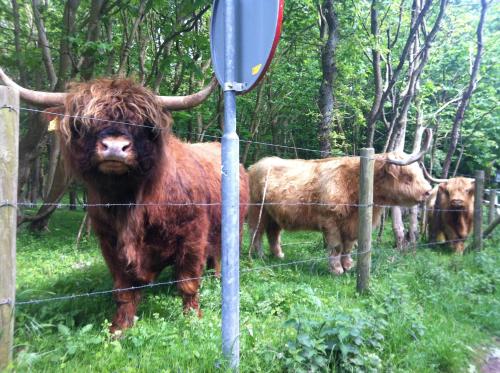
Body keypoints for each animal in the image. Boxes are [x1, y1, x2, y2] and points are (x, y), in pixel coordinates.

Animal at [0, 70, 249, 332]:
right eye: (83, 123)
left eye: (143, 124)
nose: (114, 147)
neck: (130, 202)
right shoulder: (110, 242)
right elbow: (124, 290)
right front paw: (118, 329)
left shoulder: (192, 236)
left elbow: (188, 282)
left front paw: (192, 318)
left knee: (221, 256)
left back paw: (218, 278)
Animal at [249, 145, 434, 274]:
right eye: (407, 176)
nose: (428, 191)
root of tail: (257, 164)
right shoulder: (330, 220)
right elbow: (337, 247)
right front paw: (336, 269)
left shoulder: (352, 224)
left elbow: (348, 247)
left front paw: (348, 266)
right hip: (258, 210)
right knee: (256, 232)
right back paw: (259, 255)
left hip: (274, 214)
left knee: (273, 233)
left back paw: (278, 255)